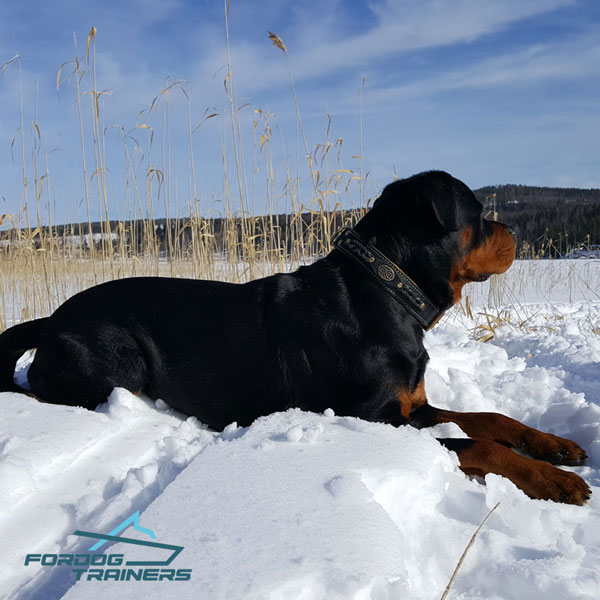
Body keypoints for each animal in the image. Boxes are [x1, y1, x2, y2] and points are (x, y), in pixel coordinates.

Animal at [0, 171, 592, 504]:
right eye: (479, 215)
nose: (514, 233)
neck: (388, 293)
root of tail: (49, 320)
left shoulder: (413, 405)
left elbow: (491, 419)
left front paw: (555, 445)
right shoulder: (377, 418)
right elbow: (481, 444)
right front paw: (553, 481)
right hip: (115, 359)